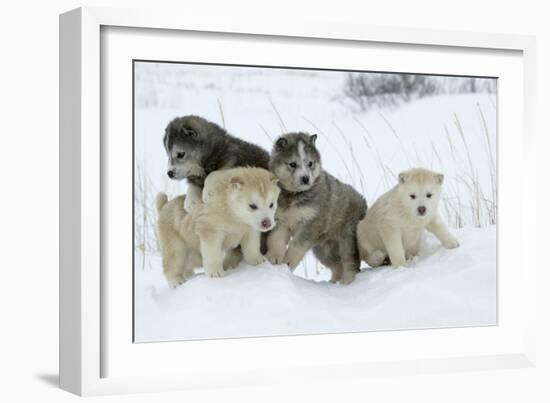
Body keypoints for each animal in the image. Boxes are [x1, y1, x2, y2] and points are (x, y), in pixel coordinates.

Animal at [268, 133, 370, 284]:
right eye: (293, 164)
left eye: (310, 163)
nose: (305, 178)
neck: (294, 195)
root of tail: (363, 201)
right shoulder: (280, 220)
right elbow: (276, 239)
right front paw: (274, 257)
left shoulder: (311, 223)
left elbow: (296, 246)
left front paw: (288, 261)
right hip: (323, 249)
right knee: (337, 266)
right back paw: (333, 283)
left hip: (348, 239)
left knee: (349, 263)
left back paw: (348, 282)